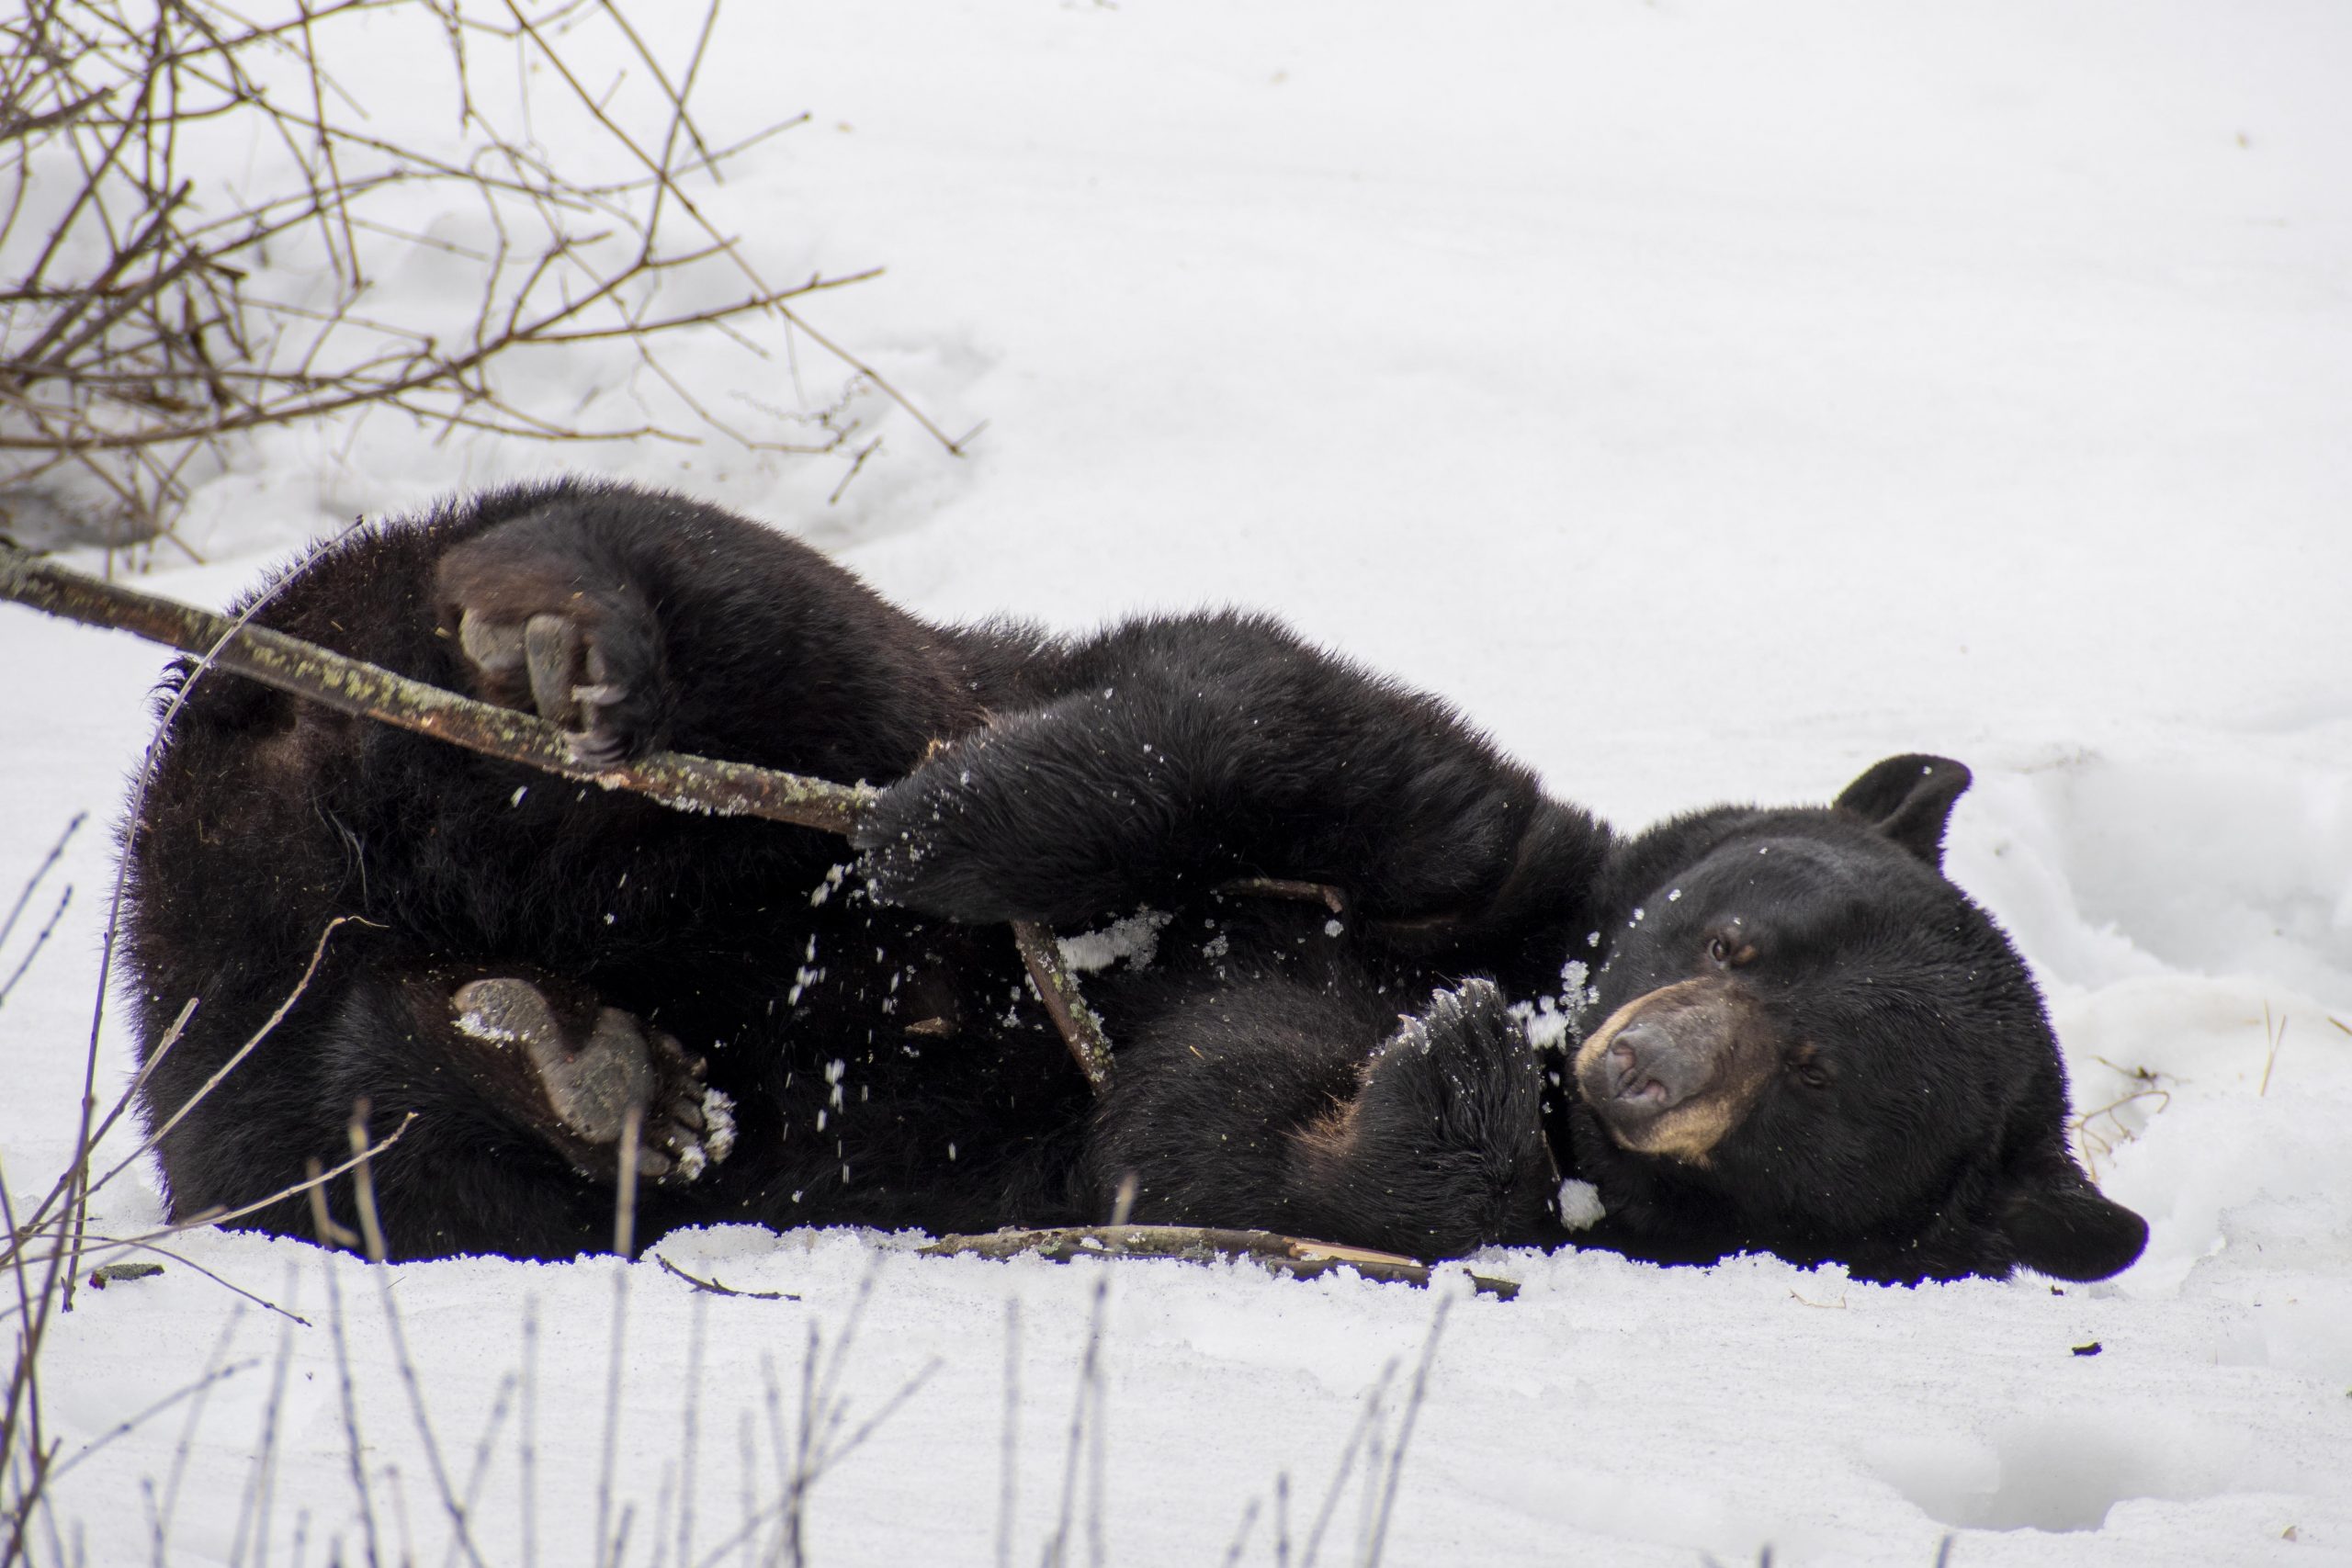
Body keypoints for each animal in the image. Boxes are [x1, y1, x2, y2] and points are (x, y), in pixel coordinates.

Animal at [120, 478, 2147, 1283]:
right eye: (1736, 925)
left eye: (1819, 1075)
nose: (1637, 1060)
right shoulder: (1477, 851)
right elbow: (1304, 729)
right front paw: (962, 829)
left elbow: (1207, 1144)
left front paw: (1445, 1081)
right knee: (762, 613)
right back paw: (556, 631)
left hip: (295, 1026)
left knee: (360, 1134)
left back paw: (576, 1064)